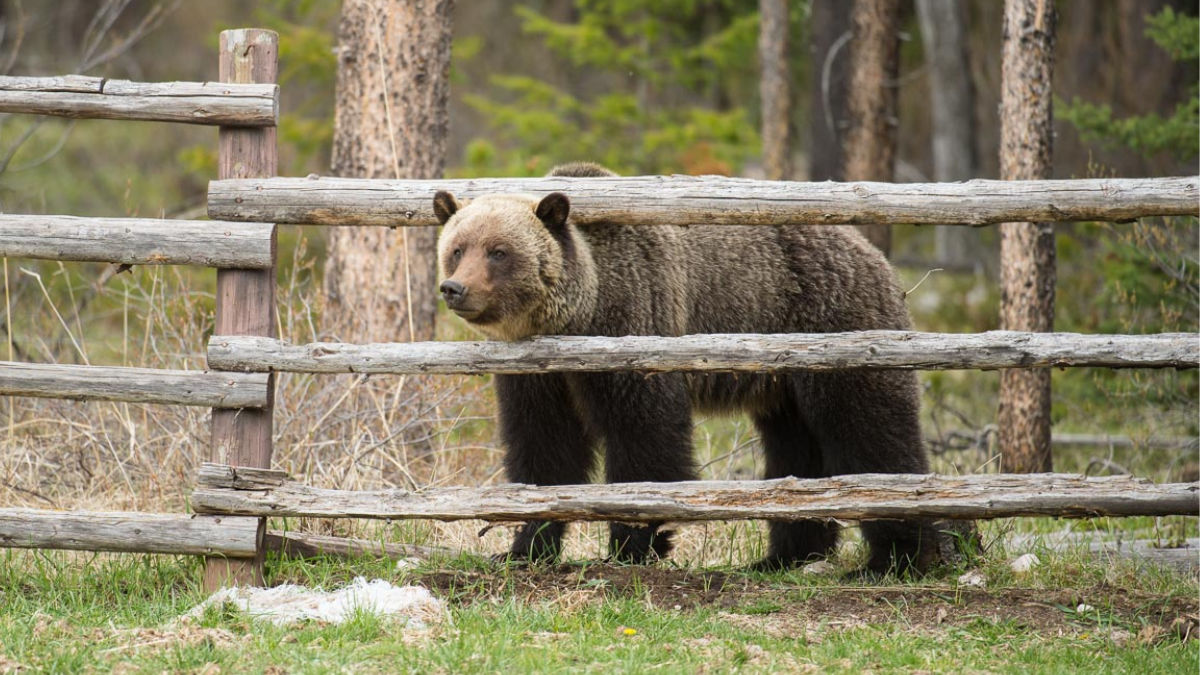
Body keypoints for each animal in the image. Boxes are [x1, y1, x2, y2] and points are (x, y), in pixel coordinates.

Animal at [436, 163, 940, 571]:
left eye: (499, 251)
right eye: (458, 248)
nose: (454, 288)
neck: (576, 323)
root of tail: (872, 253)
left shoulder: (636, 330)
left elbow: (645, 439)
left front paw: (634, 545)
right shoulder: (537, 376)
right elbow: (545, 451)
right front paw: (524, 546)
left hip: (836, 330)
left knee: (871, 429)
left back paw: (898, 558)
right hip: (783, 376)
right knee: (797, 450)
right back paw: (784, 556)